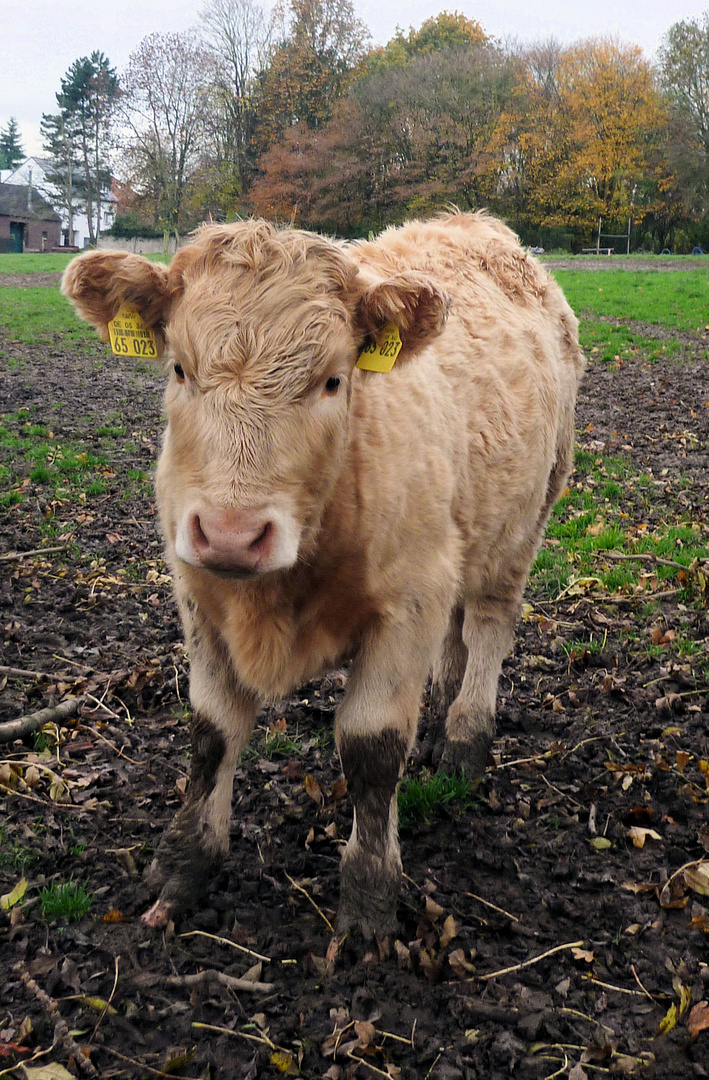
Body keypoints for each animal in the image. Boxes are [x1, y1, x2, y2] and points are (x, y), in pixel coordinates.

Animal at [61, 210, 583, 937]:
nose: (231, 532)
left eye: (334, 380)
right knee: (458, 635)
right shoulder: (198, 595)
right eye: (180, 369)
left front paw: (368, 898)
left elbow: (371, 747)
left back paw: (464, 734)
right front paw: (184, 862)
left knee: (487, 625)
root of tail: (474, 223)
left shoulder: (410, 601)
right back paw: (441, 709)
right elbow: (211, 732)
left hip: (526, 520)